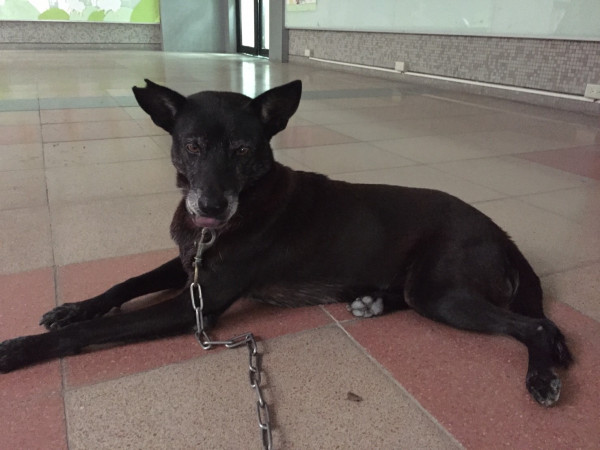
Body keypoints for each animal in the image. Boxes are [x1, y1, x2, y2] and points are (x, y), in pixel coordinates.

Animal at [0, 81, 572, 408]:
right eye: (192, 145)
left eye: (241, 149)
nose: (210, 206)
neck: (239, 207)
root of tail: (497, 229)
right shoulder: (191, 264)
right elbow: (125, 282)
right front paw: (73, 307)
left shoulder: (197, 305)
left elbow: (99, 328)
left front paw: (19, 349)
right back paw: (371, 301)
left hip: (440, 291)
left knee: (536, 325)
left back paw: (541, 377)